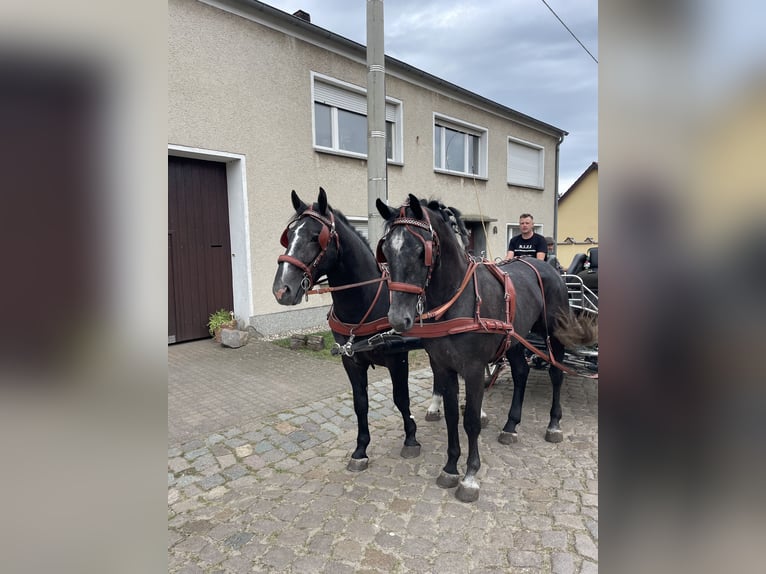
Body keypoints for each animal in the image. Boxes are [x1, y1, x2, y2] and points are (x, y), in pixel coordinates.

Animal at [272, 189, 424, 472]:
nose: (281, 289)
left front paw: (411, 437)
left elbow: (401, 397)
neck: (368, 299)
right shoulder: (351, 360)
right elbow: (360, 403)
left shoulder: (398, 357)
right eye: (289, 235)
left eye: (315, 236)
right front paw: (361, 449)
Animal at [378, 196, 600, 502]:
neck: (458, 297)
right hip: (516, 339)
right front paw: (450, 467)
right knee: (520, 373)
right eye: (386, 250)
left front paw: (470, 475)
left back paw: (553, 424)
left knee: (556, 373)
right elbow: (451, 417)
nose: (398, 319)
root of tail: (550, 269)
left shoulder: (472, 369)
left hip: (553, 332)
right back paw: (511, 426)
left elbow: (470, 420)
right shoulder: (444, 367)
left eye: (420, 250)